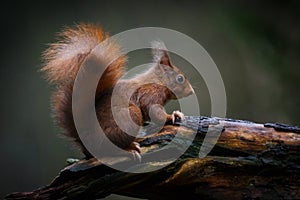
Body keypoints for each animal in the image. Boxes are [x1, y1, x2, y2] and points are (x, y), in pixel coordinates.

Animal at [42, 23, 195, 159]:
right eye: (180, 78)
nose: (192, 91)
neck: (158, 82)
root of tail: (88, 141)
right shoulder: (150, 94)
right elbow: (156, 113)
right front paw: (172, 116)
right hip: (129, 116)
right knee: (109, 150)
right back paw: (129, 150)